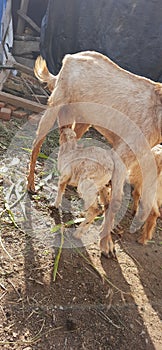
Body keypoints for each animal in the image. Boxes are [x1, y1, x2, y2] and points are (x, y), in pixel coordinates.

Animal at [27, 51, 161, 254]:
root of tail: (70, 57)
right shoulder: (122, 155)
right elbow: (116, 201)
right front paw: (106, 243)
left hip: (82, 118)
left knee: (69, 140)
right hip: (55, 105)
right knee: (37, 144)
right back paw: (31, 185)